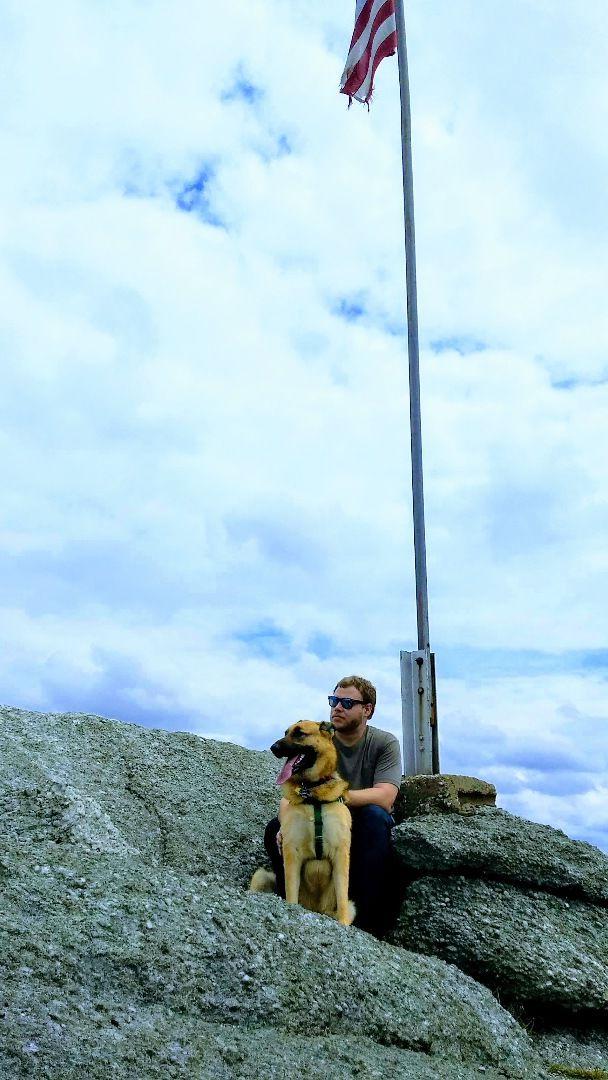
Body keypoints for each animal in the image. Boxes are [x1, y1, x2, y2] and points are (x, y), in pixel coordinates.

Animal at [250, 721, 356, 924]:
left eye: (299, 734)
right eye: (285, 733)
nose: (273, 747)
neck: (312, 794)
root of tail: (314, 909)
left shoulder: (341, 853)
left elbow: (342, 897)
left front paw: (343, 924)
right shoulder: (292, 851)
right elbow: (291, 892)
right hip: (261, 876)